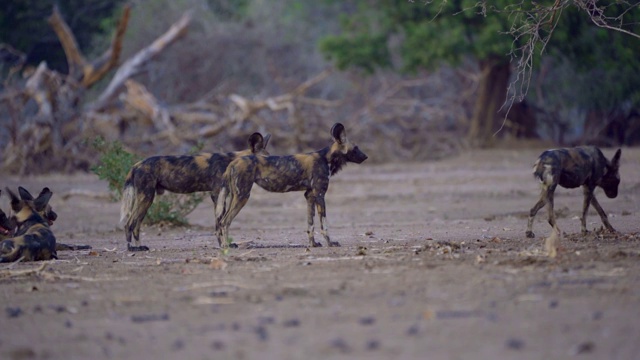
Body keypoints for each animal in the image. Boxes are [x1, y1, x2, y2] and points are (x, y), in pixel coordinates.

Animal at [120, 131, 270, 250]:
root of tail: (137, 165)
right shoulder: (217, 194)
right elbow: (219, 223)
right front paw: (223, 245)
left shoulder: (220, 195)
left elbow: (220, 223)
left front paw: (224, 244)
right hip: (145, 197)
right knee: (129, 224)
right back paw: (132, 248)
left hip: (145, 200)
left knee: (136, 225)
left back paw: (139, 246)